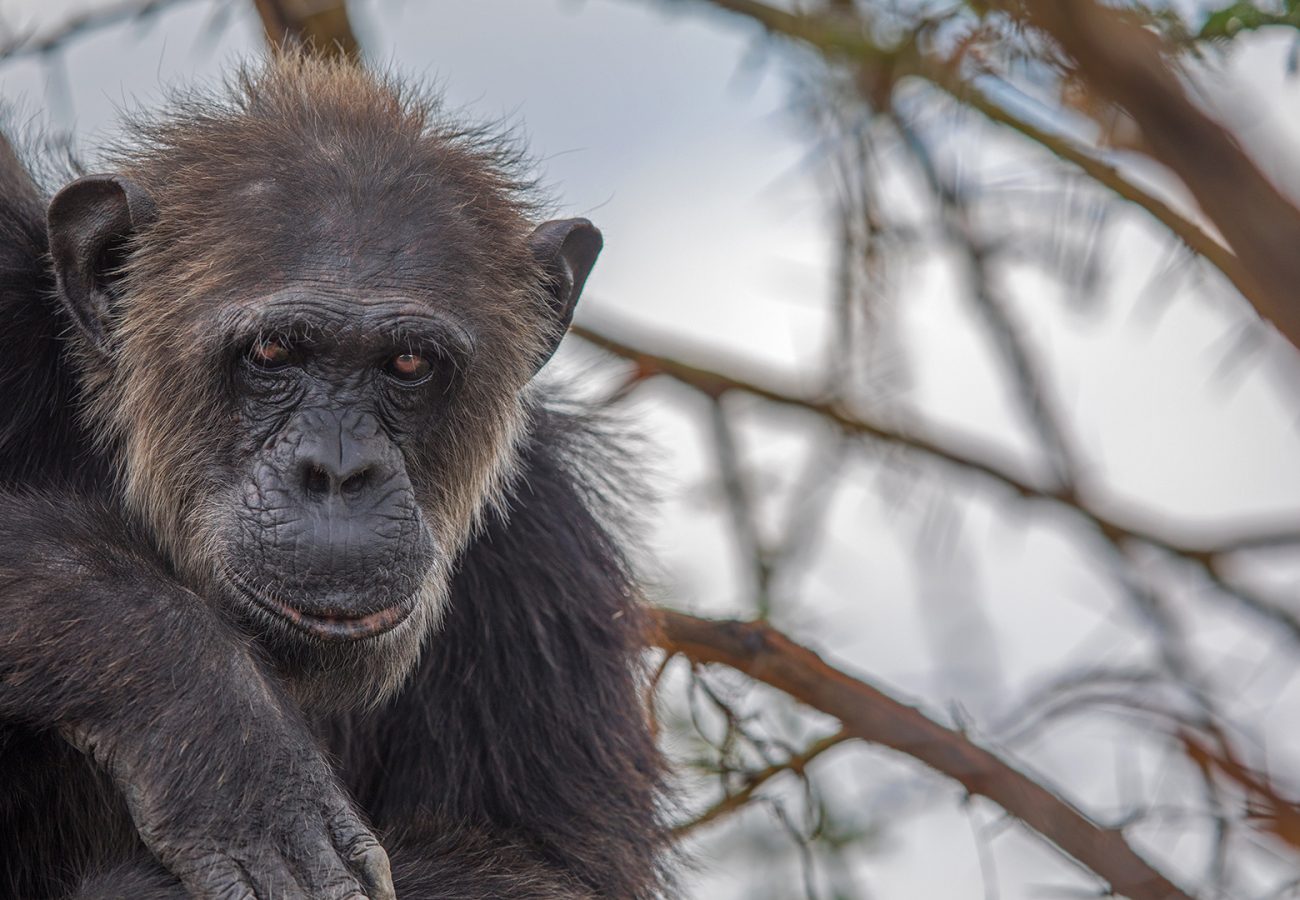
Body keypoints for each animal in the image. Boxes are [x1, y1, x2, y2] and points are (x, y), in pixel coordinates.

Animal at [0, 56, 670, 900]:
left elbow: (542, 869)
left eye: (408, 364)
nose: (339, 471)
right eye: (273, 352)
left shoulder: (550, 563)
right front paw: (221, 732)